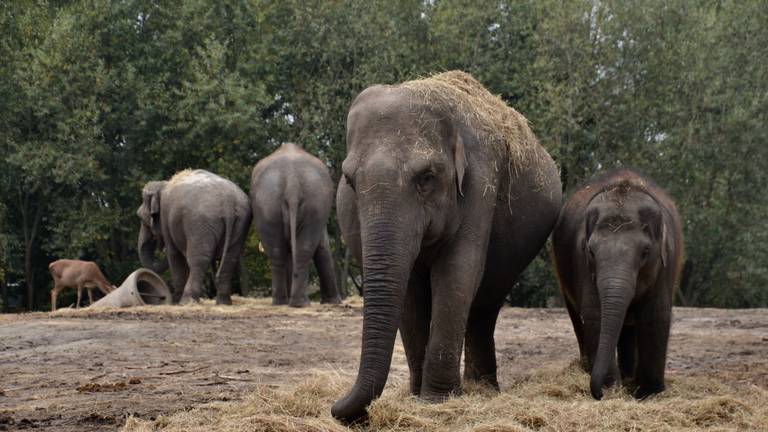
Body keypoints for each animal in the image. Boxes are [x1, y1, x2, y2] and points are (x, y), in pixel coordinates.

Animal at [135, 169, 249, 304]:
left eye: (140, 218)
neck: (162, 184)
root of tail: (228, 203)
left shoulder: (165, 218)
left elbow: (174, 254)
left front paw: (175, 302)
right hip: (239, 223)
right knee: (230, 259)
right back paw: (223, 302)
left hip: (200, 223)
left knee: (197, 260)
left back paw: (187, 301)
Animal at [250, 143, 340, 308]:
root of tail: (292, 183)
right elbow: (321, 247)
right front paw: (333, 302)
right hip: (307, 203)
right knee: (300, 250)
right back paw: (299, 303)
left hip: (268, 204)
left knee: (278, 251)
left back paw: (283, 303)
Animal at [328, 71, 560, 422]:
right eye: (350, 182)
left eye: (426, 178)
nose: (336, 407)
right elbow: (410, 290)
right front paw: (416, 397)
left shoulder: (481, 182)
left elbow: (457, 272)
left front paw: (437, 402)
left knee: (485, 304)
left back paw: (483, 391)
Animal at [552, 170, 684, 402]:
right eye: (591, 251)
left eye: (645, 252)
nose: (598, 393)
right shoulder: (583, 265)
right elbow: (595, 314)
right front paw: (613, 389)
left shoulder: (665, 264)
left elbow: (656, 314)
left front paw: (649, 392)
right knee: (578, 318)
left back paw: (630, 377)